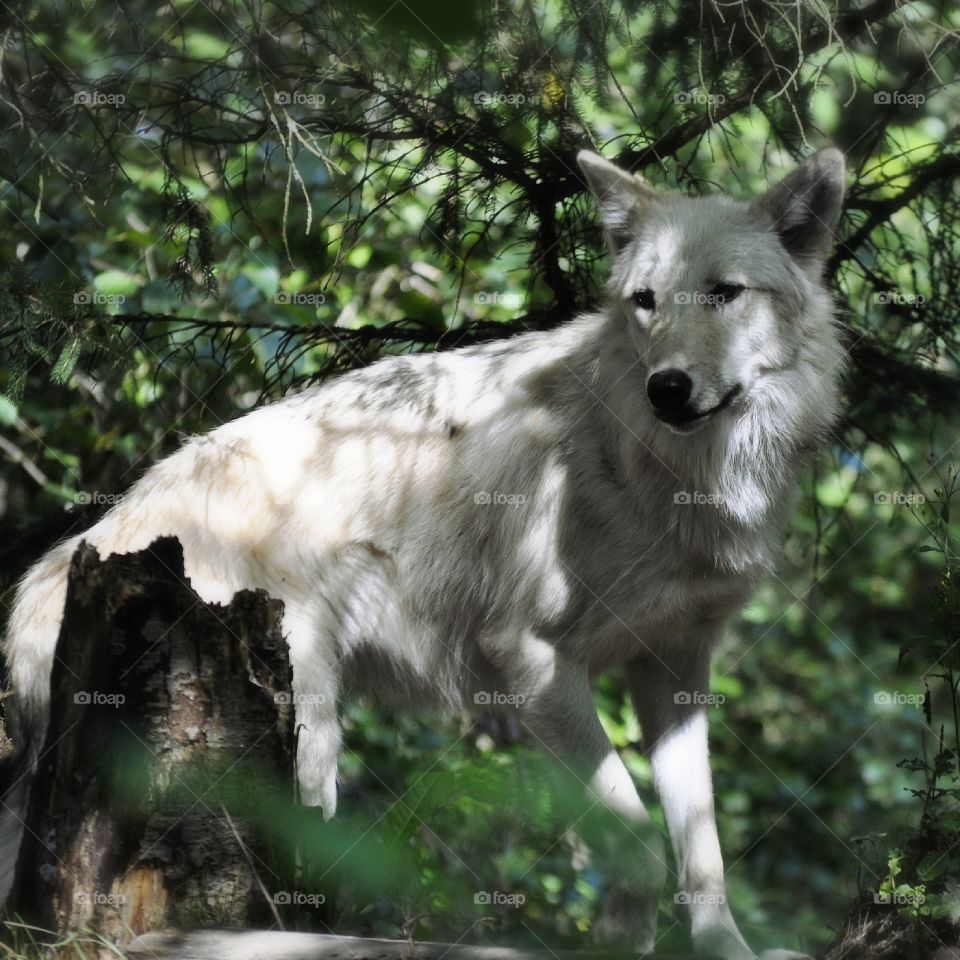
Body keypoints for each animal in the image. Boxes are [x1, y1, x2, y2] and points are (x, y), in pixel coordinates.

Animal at [1, 147, 845, 959]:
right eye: (646, 301)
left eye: (725, 292)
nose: (666, 388)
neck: (672, 475)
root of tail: (64, 560)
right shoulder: (533, 661)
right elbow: (635, 840)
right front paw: (622, 938)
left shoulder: (674, 668)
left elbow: (702, 849)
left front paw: (724, 947)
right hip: (299, 744)